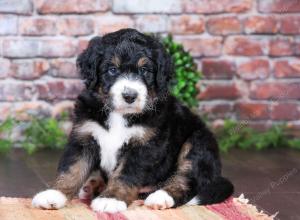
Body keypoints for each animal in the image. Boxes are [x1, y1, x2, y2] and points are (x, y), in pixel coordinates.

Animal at [32, 28, 234, 213]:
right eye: (112, 70)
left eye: (145, 70)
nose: (130, 95)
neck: (119, 115)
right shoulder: (84, 135)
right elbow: (72, 168)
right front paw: (54, 194)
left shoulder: (144, 145)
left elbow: (125, 173)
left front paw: (111, 199)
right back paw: (92, 186)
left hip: (198, 142)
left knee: (186, 179)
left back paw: (161, 196)